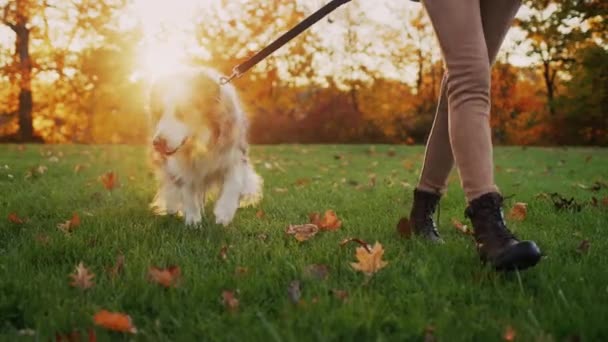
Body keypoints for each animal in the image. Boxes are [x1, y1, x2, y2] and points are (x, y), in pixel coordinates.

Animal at [147, 67, 264, 227]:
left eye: (182, 112)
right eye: (159, 113)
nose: (157, 144)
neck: (201, 142)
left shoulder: (234, 153)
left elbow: (234, 181)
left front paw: (224, 213)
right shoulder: (181, 165)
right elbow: (187, 189)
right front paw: (193, 219)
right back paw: (172, 206)